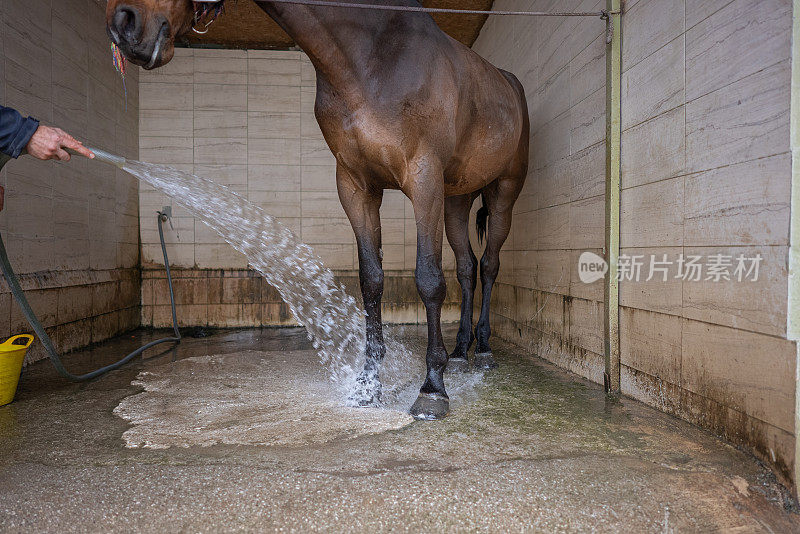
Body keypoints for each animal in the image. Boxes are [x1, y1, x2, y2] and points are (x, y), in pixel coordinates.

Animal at [108, 0, 532, 420]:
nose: (123, 22)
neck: (371, 58)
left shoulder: (423, 178)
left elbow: (428, 280)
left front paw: (432, 389)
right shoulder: (356, 187)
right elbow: (371, 281)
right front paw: (368, 385)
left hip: (502, 194)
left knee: (489, 265)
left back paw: (484, 351)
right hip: (457, 200)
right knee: (467, 268)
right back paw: (461, 352)